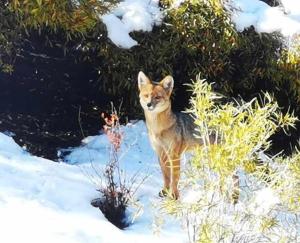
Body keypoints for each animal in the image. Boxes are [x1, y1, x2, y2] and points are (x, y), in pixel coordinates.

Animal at [137, 70, 217, 199]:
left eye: (157, 97)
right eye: (146, 95)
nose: (149, 104)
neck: (158, 129)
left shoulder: (174, 154)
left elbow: (174, 177)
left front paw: (174, 195)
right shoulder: (160, 153)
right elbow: (166, 176)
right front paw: (165, 191)